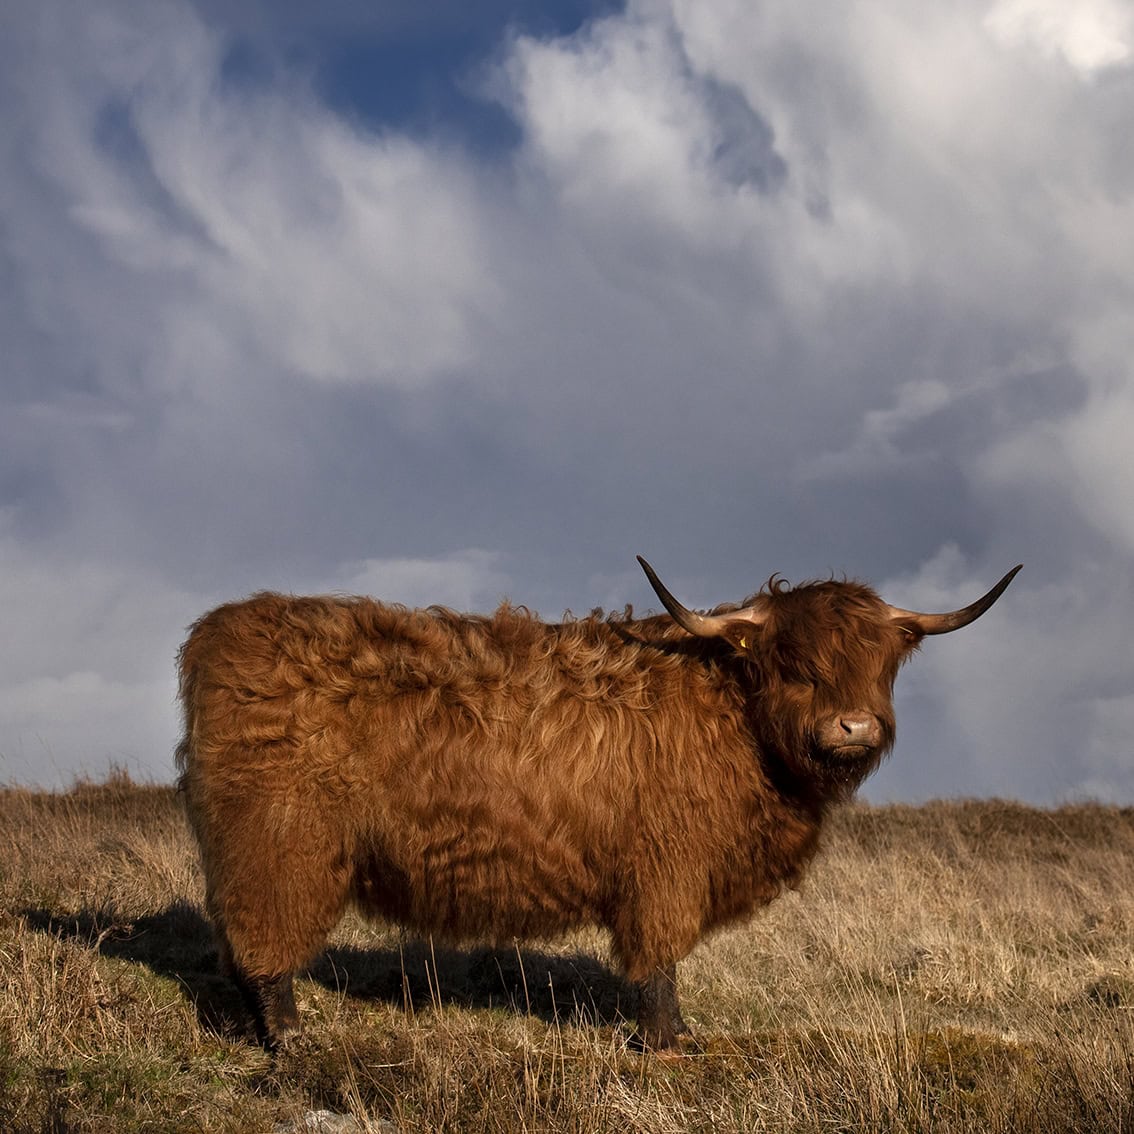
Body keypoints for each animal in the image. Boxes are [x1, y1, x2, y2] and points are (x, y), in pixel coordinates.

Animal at [174, 553, 1020, 1047]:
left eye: (882, 661)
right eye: (793, 659)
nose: (853, 726)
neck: (738, 721)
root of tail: (220, 629)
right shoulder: (667, 869)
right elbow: (659, 963)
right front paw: (670, 1043)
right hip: (279, 837)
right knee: (263, 940)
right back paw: (291, 1041)